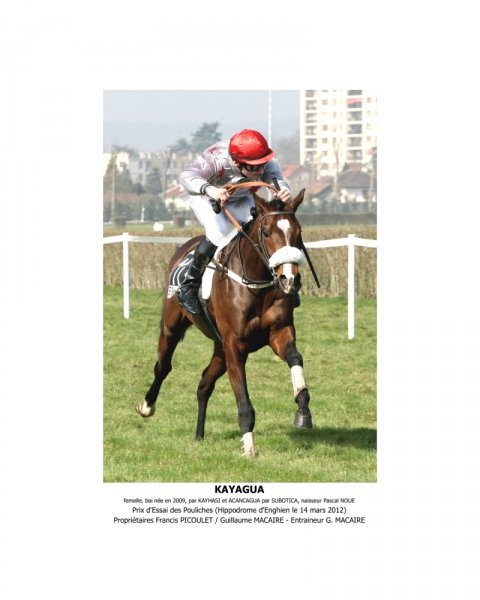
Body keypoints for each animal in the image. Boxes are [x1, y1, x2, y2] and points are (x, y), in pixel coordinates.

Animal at [136, 185, 313, 457]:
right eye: (266, 232)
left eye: (298, 232)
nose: (289, 279)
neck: (255, 284)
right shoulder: (235, 345)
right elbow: (244, 402)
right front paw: (249, 447)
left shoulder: (278, 332)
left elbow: (295, 358)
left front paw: (303, 410)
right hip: (172, 327)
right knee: (163, 367)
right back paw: (147, 406)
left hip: (219, 348)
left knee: (204, 384)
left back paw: (199, 434)